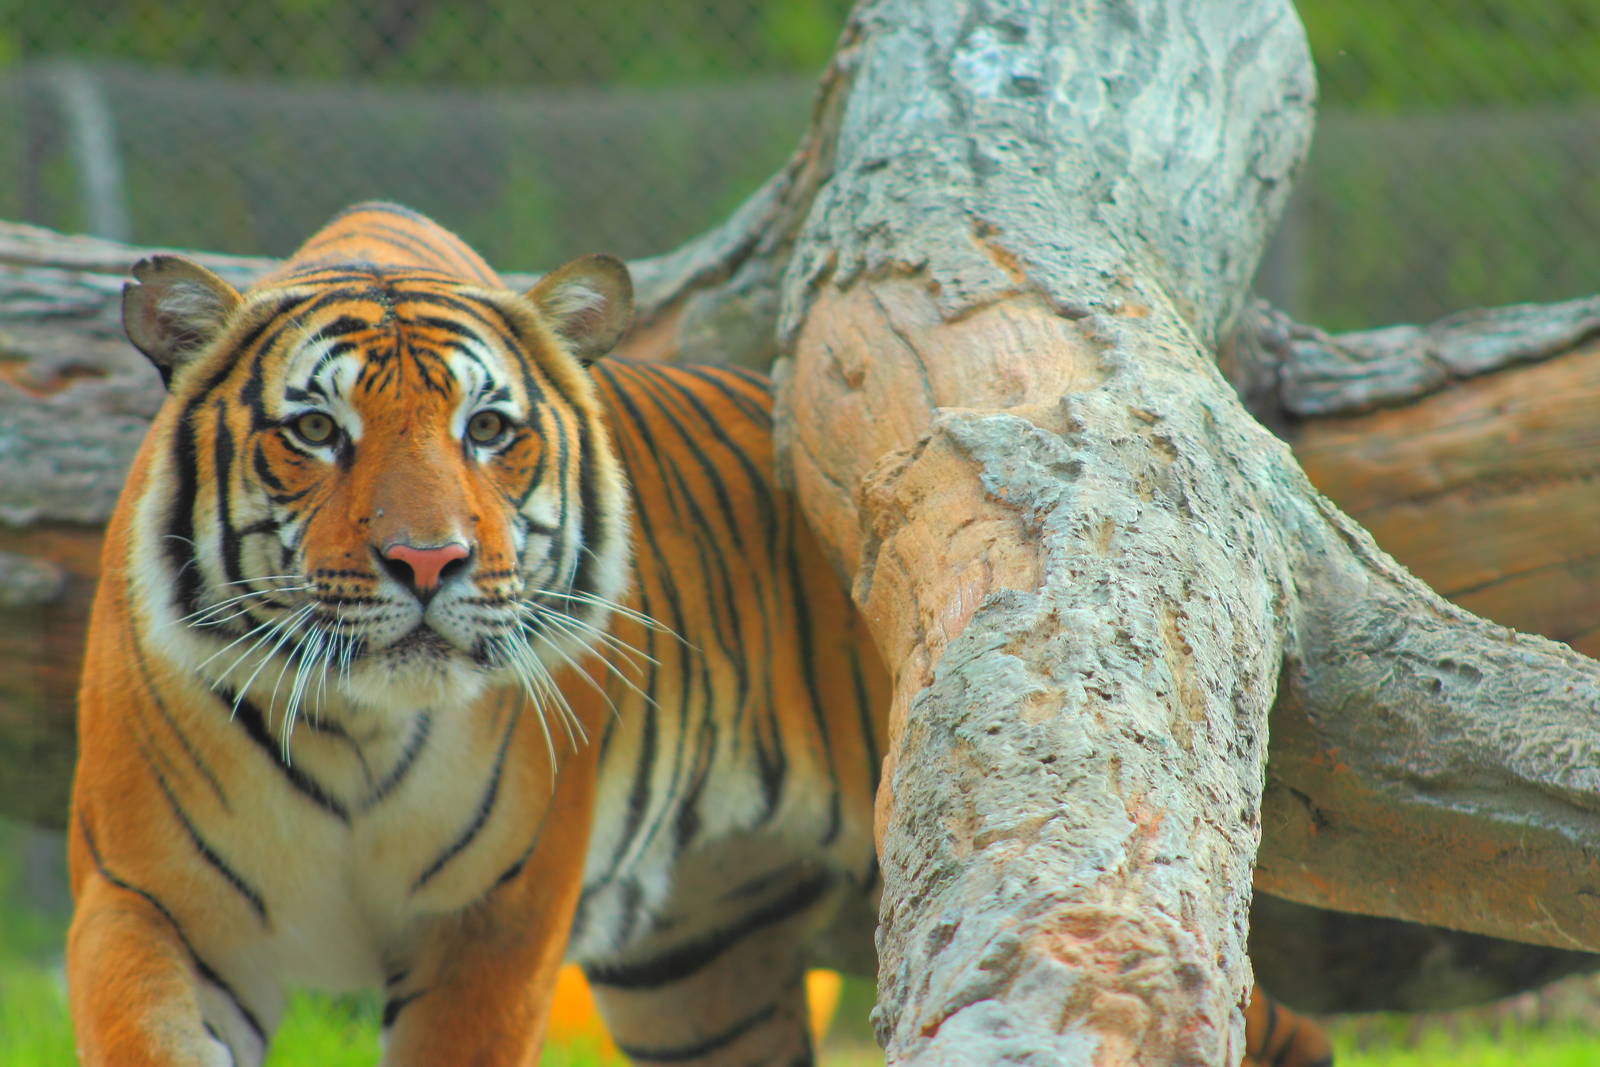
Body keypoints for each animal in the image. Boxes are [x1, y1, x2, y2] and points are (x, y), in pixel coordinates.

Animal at [69, 201, 1331, 1066]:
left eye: (488, 430)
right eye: (316, 431)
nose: (429, 561)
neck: (355, 724)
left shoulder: (492, 925)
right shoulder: (148, 904)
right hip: (696, 975)